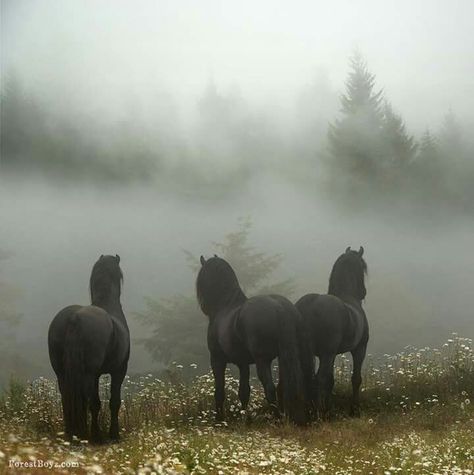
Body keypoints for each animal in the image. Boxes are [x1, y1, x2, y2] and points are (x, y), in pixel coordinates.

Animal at [48, 256, 130, 442]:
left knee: (67, 397)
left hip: (62, 373)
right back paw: (92, 435)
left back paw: (71, 432)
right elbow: (113, 402)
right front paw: (114, 434)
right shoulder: (119, 370)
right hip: (88, 373)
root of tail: (74, 317)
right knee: (87, 399)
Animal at [194, 256, 312, 428]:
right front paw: (246, 420)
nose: (203, 305)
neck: (226, 306)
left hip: (262, 360)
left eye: (203, 276)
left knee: (270, 388)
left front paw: (220, 420)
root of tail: (280, 307)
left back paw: (277, 419)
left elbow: (219, 391)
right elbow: (244, 392)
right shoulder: (242, 363)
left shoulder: (217, 359)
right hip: (289, 356)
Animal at [294, 247, 368, 418]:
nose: (363, 292)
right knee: (318, 379)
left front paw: (329, 407)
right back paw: (318, 413)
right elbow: (356, 379)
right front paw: (354, 409)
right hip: (327, 354)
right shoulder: (359, 349)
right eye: (362, 267)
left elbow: (330, 381)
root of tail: (310, 304)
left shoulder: (331, 354)